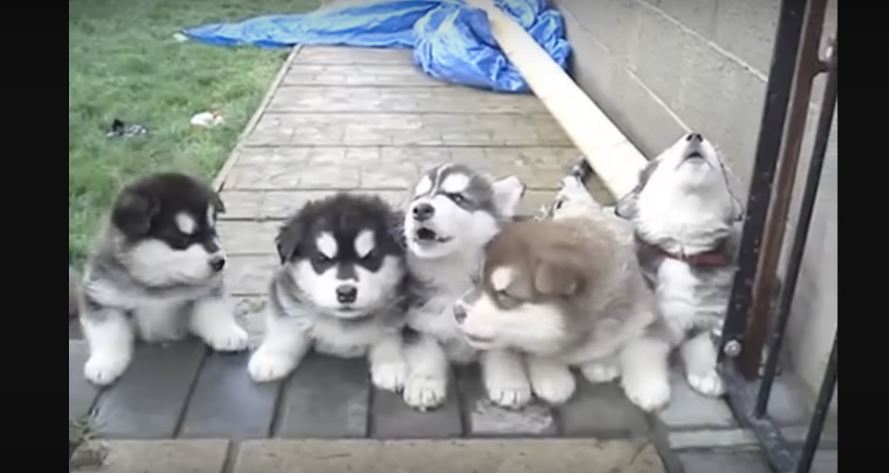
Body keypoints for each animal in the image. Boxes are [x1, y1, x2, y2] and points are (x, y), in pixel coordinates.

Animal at [76, 171, 248, 386]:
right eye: (183, 238)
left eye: (213, 230)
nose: (219, 262)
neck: (158, 283)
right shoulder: (100, 296)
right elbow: (107, 331)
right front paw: (104, 363)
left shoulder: (206, 291)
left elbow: (214, 311)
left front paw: (228, 333)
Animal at [245, 192, 408, 390]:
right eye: (322, 258)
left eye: (369, 257)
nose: (346, 293)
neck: (343, 321)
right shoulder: (288, 296)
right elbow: (286, 328)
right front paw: (271, 359)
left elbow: (390, 334)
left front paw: (391, 365)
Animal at [400, 164, 532, 412]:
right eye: (418, 197)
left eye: (458, 198)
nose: (420, 209)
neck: (453, 271)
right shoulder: (415, 319)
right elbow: (426, 352)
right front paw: (424, 384)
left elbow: (502, 352)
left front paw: (510, 383)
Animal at [454, 171, 668, 410]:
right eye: (477, 280)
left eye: (504, 294)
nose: (456, 311)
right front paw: (552, 378)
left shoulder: (648, 313)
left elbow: (645, 347)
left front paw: (649, 387)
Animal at [612, 132, 744, 394]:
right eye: (665, 156)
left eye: (721, 165)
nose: (695, 135)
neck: (683, 248)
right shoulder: (646, 313)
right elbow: (644, 345)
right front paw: (647, 388)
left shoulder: (712, 315)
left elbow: (703, 345)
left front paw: (706, 375)